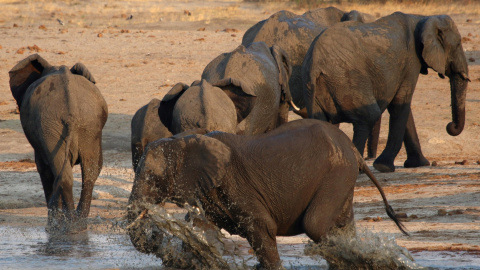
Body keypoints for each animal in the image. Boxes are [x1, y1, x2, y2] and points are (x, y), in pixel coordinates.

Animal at [8, 53, 108, 233]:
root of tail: (71, 109)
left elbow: (44, 169)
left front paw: (54, 225)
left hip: (50, 126)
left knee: (62, 173)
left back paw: (64, 226)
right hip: (89, 125)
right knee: (90, 172)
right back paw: (78, 225)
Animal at [126, 119, 404, 270]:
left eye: (152, 178)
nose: (155, 232)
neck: (184, 140)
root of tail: (354, 150)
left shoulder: (236, 187)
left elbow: (263, 228)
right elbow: (203, 231)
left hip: (336, 173)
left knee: (315, 224)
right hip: (342, 177)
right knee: (343, 225)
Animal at [304, 12, 468, 172]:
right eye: (458, 44)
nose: (450, 126)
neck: (422, 18)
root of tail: (314, 63)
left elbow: (403, 107)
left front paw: (418, 164)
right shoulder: (411, 61)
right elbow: (400, 104)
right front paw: (383, 167)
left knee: (323, 122)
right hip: (347, 78)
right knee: (368, 116)